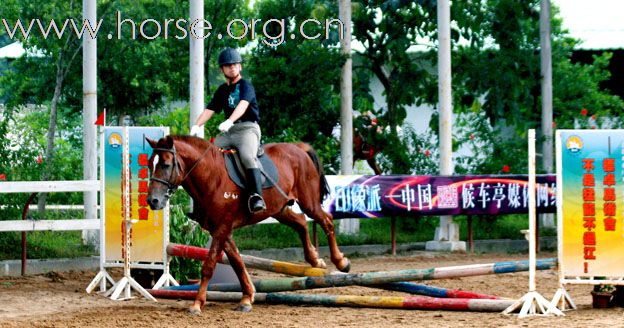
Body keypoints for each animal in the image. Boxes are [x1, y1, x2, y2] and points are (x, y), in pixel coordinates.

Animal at [146, 136, 352, 316]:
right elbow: (237, 262)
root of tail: (299, 148)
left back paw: (341, 262)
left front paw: (197, 304)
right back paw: (315, 260)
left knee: (326, 221)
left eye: (165, 165)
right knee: (301, 222)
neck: (212, 177)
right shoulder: (220, 229)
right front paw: (247, 298)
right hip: (279, 209)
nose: (152, 201)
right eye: (149, 164)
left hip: (309, 202)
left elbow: (209, 265)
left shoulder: (222, 227)